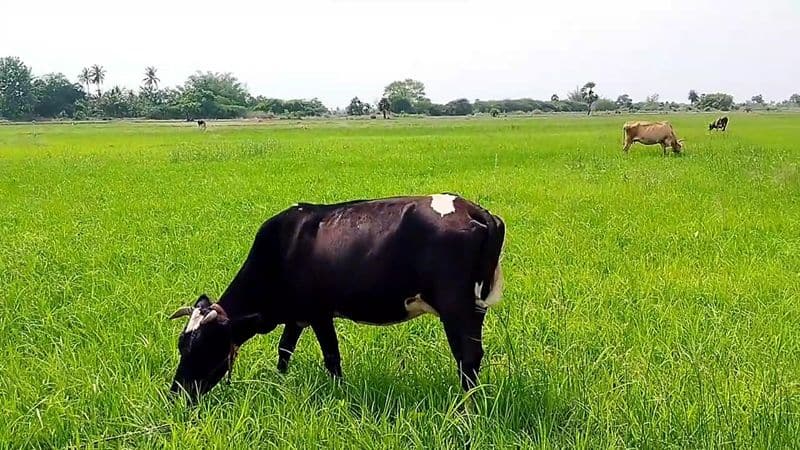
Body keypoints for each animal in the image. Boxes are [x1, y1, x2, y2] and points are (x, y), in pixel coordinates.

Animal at [169, 193, 506, 400]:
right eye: (181, 344)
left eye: (203, 345)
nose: (176, 393)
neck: (281, 249)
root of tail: (475, 211)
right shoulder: (297, 316)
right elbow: (284, 351)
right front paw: (281, 384)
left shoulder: (319, 314)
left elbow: (332, 358)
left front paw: (339, 395)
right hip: (474, 309)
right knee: (473, 357)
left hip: (456, 307)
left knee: (467, 358)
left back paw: (466, 409)